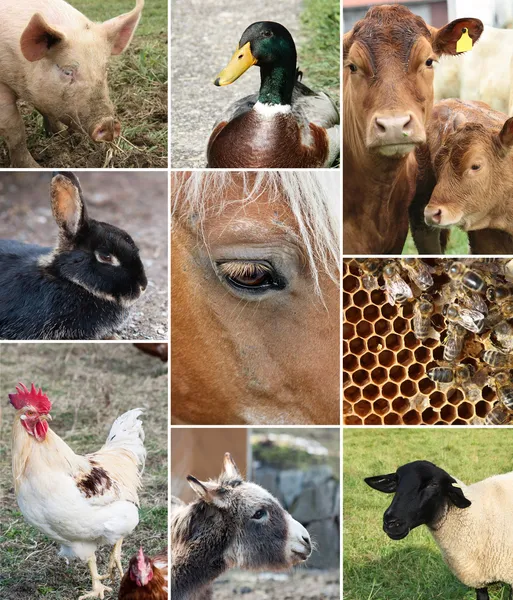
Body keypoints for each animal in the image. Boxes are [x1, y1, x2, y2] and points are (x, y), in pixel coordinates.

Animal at [0, 0, 144, 168]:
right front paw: (35, 167)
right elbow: (16, 131)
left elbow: (47, 112)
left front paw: (60, 137)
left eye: (105, 69)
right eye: (67, 71)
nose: (108, 123)